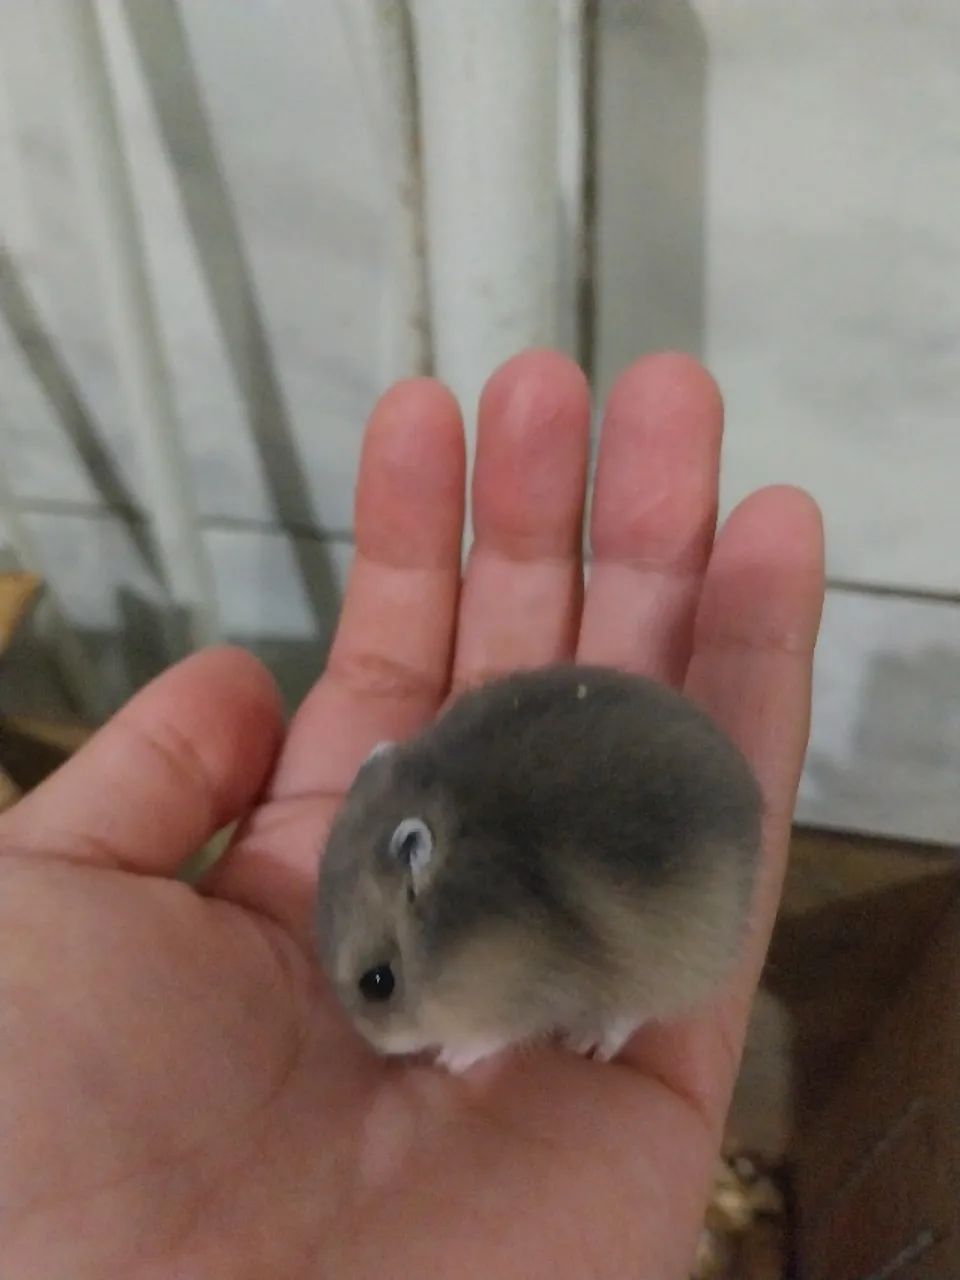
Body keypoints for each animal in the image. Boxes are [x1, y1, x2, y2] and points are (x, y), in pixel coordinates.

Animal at [315, 663, 762, 1074]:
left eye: (378, 982)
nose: (377, 1046)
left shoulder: (523, 997)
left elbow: (491, 1034)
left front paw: (450, 1059)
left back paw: (587, 1041)